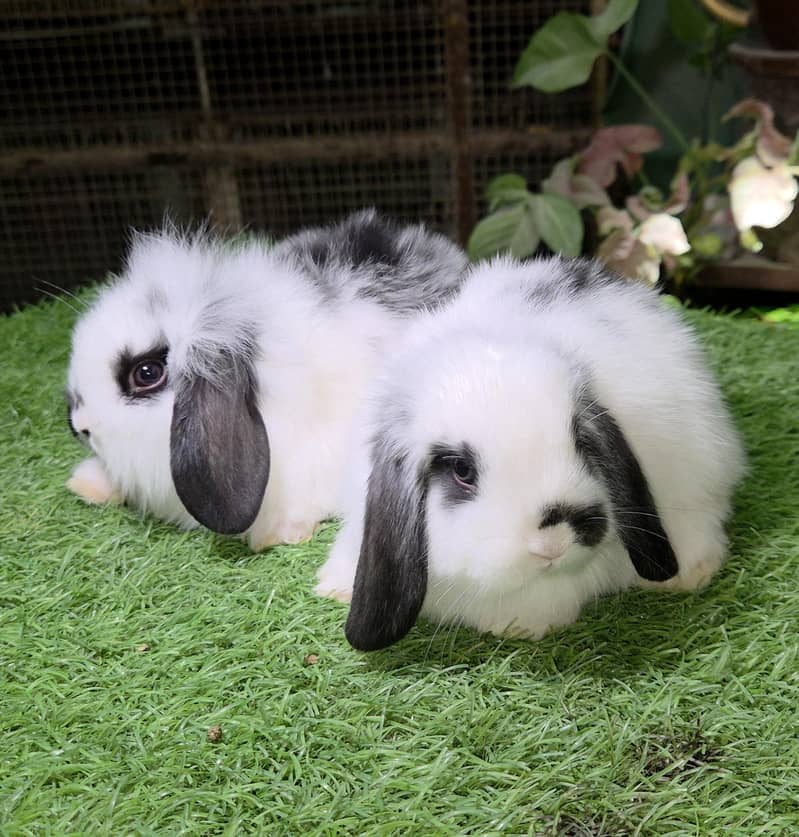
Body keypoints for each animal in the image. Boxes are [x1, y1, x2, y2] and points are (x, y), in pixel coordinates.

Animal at [315, 255, 746, 650]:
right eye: (462, 470)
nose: (553, 541)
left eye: (581, 443)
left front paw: (520, 626)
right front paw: (334, 588)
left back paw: (690, 573)